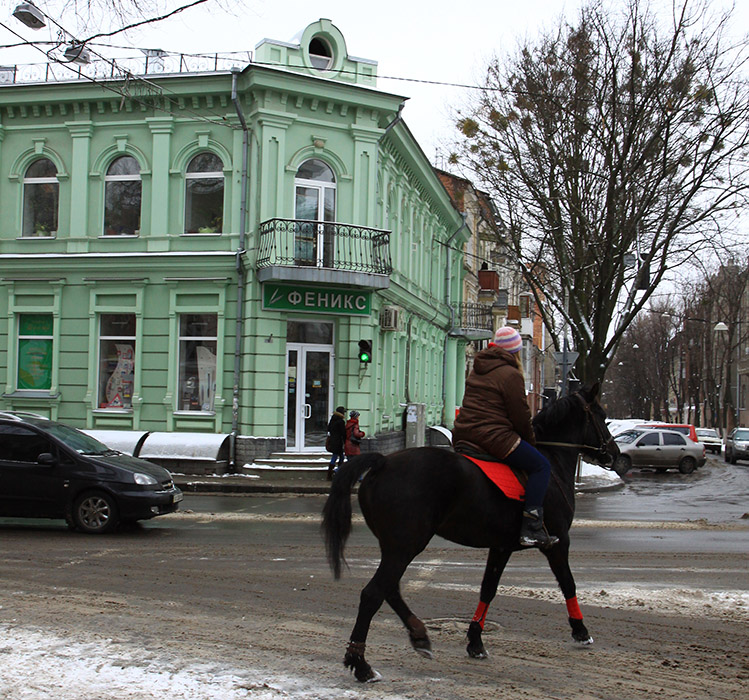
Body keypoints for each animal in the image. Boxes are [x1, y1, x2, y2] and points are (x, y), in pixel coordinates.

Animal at [322, 382, 620, 684]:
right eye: (602, 415)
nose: (616, 455)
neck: (553, 464)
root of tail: (382, 462)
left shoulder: (501, 547)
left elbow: (487, 590)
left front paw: (475, 642)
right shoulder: (557, 543)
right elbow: (568, 583)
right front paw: (581, 631)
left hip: (396, 546)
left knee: (389, 590)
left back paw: (418, 636)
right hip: (405, 546)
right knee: (373, 594)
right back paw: (361, 664)